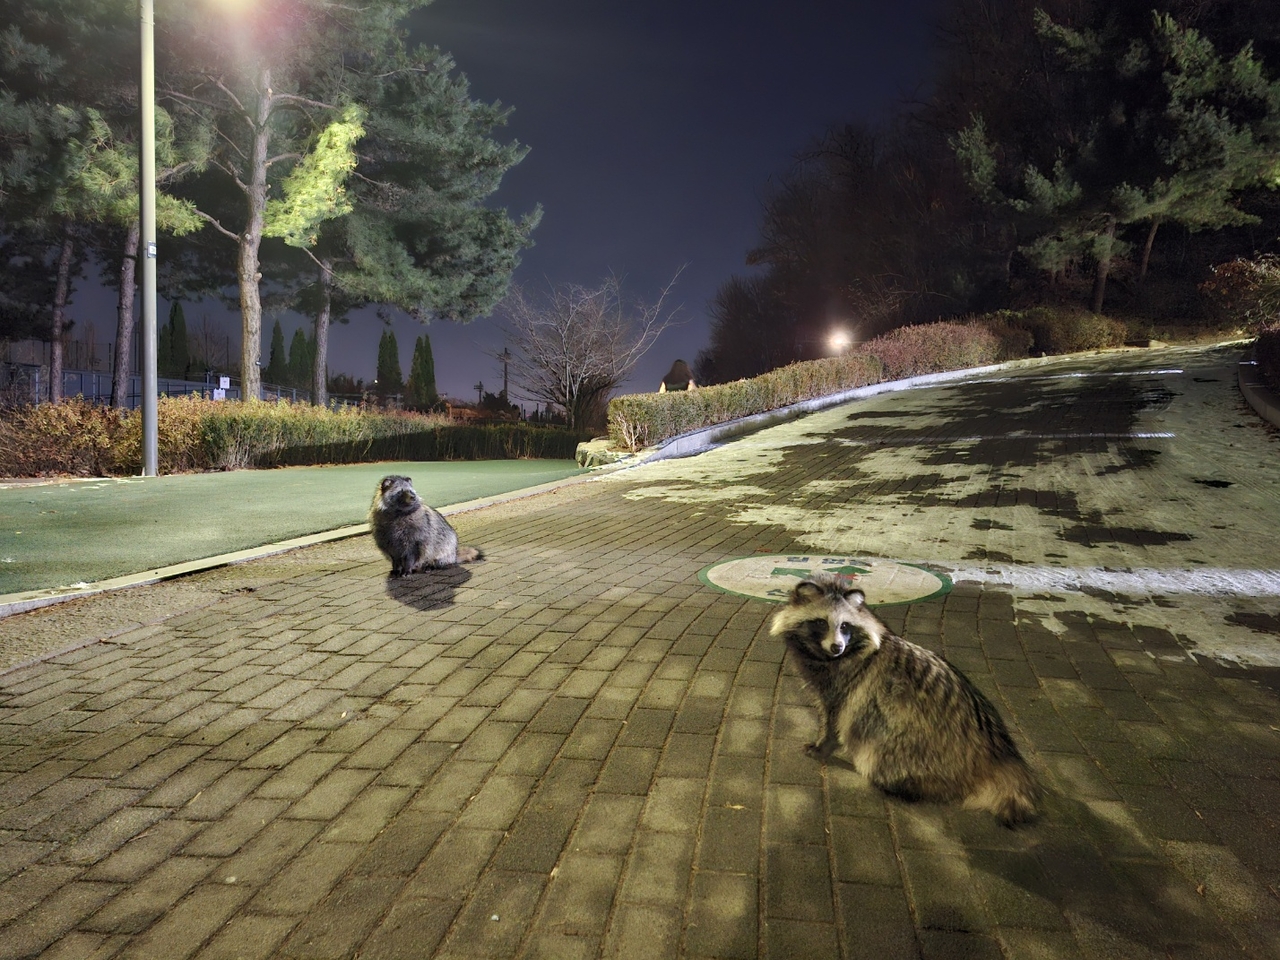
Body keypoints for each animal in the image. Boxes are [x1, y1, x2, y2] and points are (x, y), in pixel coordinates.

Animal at [768, 570, 1039, 829]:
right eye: (821, 623)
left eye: (844, 626)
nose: (837, 647)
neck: (829, 657)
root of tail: (995, 753)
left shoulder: (844, 684)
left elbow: (834, 717)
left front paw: (823, 744)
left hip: (916, 739)